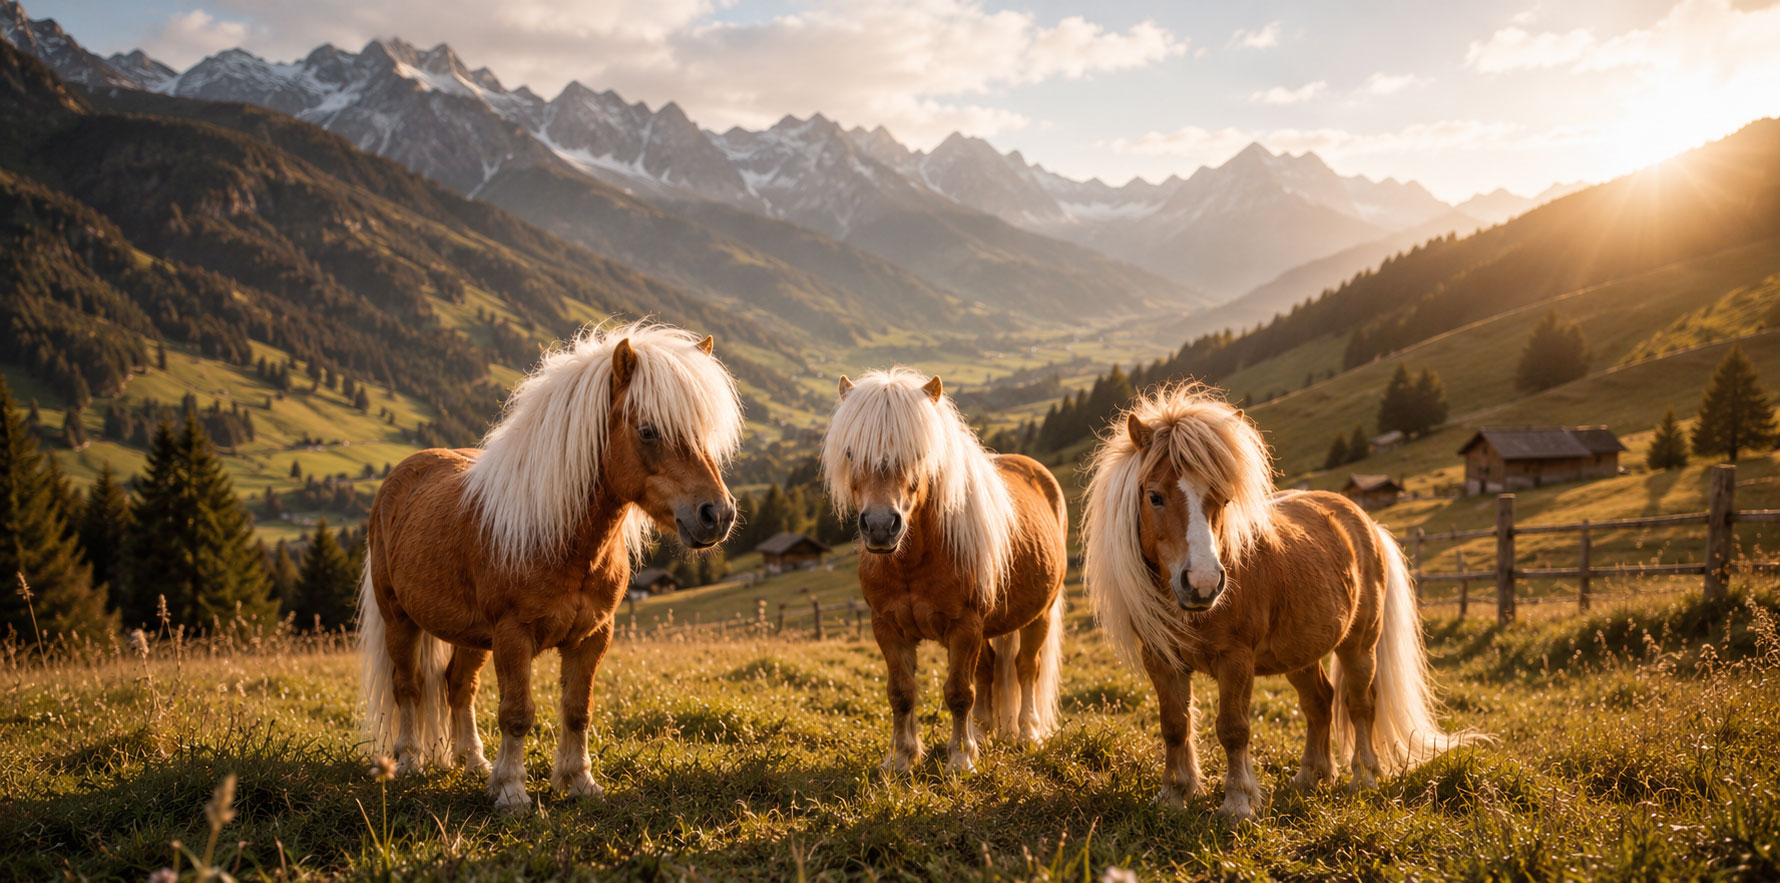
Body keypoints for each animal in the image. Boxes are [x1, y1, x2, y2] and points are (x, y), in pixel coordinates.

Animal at [358, 321, 744, 813]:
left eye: (704, 431)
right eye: (648, 431)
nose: (717, 514)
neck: (561, 539)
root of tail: (402, 474)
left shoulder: (593, 636)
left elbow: (578, 710)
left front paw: (578, 782)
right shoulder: (512, 636)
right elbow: (517, 713)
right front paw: (511, 791)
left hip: (470, 635)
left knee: (457, 686)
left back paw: (473, 763)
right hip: (400, 620)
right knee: (407, 687)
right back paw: (409, 762)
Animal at [821, 368, 1068, 773]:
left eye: (918, 453)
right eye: (851, 452)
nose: (879, 526)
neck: (912, 565)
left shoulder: (964, 627)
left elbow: (958, 693)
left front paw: (961, 759)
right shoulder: (887, 627)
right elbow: (901, 693)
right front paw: (901, 758)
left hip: (1039, 616)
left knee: (1025, 668)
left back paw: (1027, 733)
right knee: (989, 670)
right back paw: (983, 731)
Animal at [1080, 383, 1485, 821]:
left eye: (1224, 499)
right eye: (1154, 496)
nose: (1203, 584)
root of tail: (1366, 523)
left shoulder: (1236, 660)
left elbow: (1233, 728)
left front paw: (1237, 803)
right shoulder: (1160, 659)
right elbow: (1174, 724)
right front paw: (1174, 794)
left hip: (1359, 645)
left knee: (1360, 705)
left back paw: (1364, 778)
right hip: (1301, 652)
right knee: (1319, 702)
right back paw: (1311, 776)